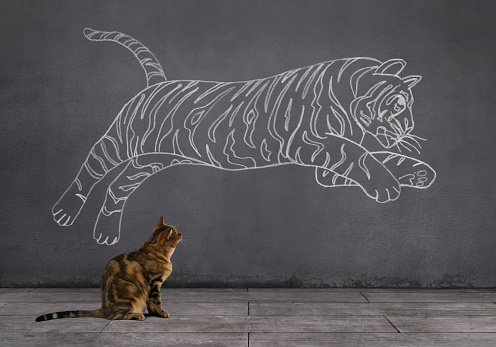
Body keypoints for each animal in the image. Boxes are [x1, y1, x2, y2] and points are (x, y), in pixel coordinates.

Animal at [35, 218, 181, 324]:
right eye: (175, 232)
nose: (181, 233)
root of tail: (103, 309)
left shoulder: (151, 287)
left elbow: (151, 302)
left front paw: (155, 313)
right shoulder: (154, 283)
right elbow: (157, 301)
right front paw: (162, 312)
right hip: (131, 292)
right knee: (116, 316)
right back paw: (137, 315)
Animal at [52, 29, 436, 245]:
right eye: (399, 105)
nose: (409, 129)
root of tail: (157, 83)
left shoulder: (325, 167)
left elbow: (377, 157)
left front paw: (419, 172)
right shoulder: (313, 142)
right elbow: (361, 157)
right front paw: (388, 185)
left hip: (152, 160)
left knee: (118, 187)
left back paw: (105, 233)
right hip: (119, 144)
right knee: (90, 168)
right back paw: (64, 211)